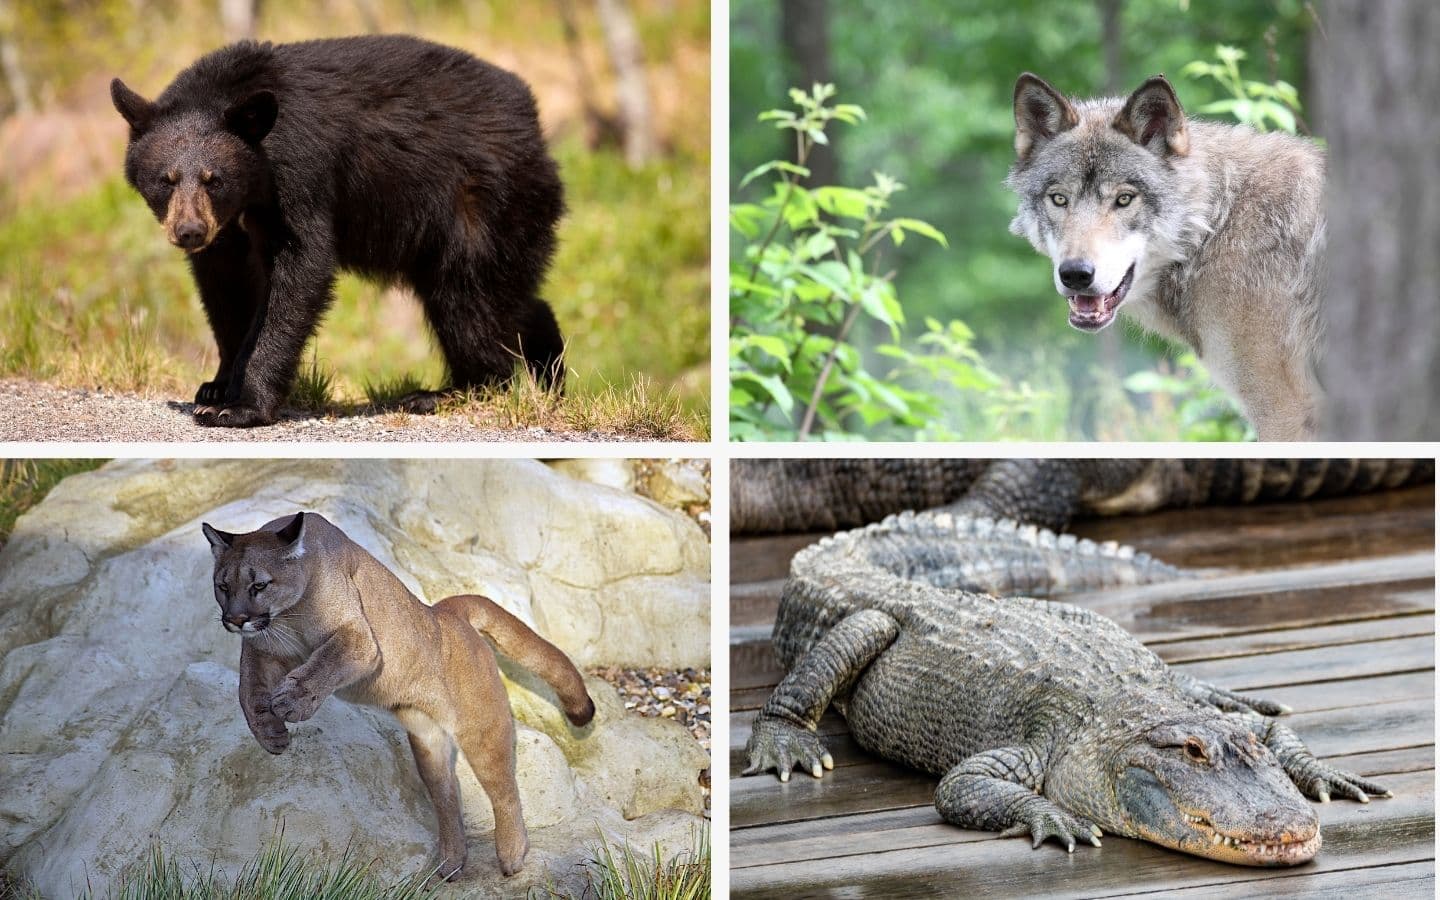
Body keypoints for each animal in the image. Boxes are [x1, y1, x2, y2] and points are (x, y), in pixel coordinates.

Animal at [109, 35, 566, 427]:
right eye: (166, 179)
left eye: (213, 179)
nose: (189, 231)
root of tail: (537, 131)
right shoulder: (227, 230)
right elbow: (226, 286)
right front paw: (216, 388)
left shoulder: (300, 171)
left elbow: (301, 267)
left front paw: (242, 406)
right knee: (507, 300)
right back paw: (549, 373)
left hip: (484, 204)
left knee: (469, 299)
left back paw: (446, 392)